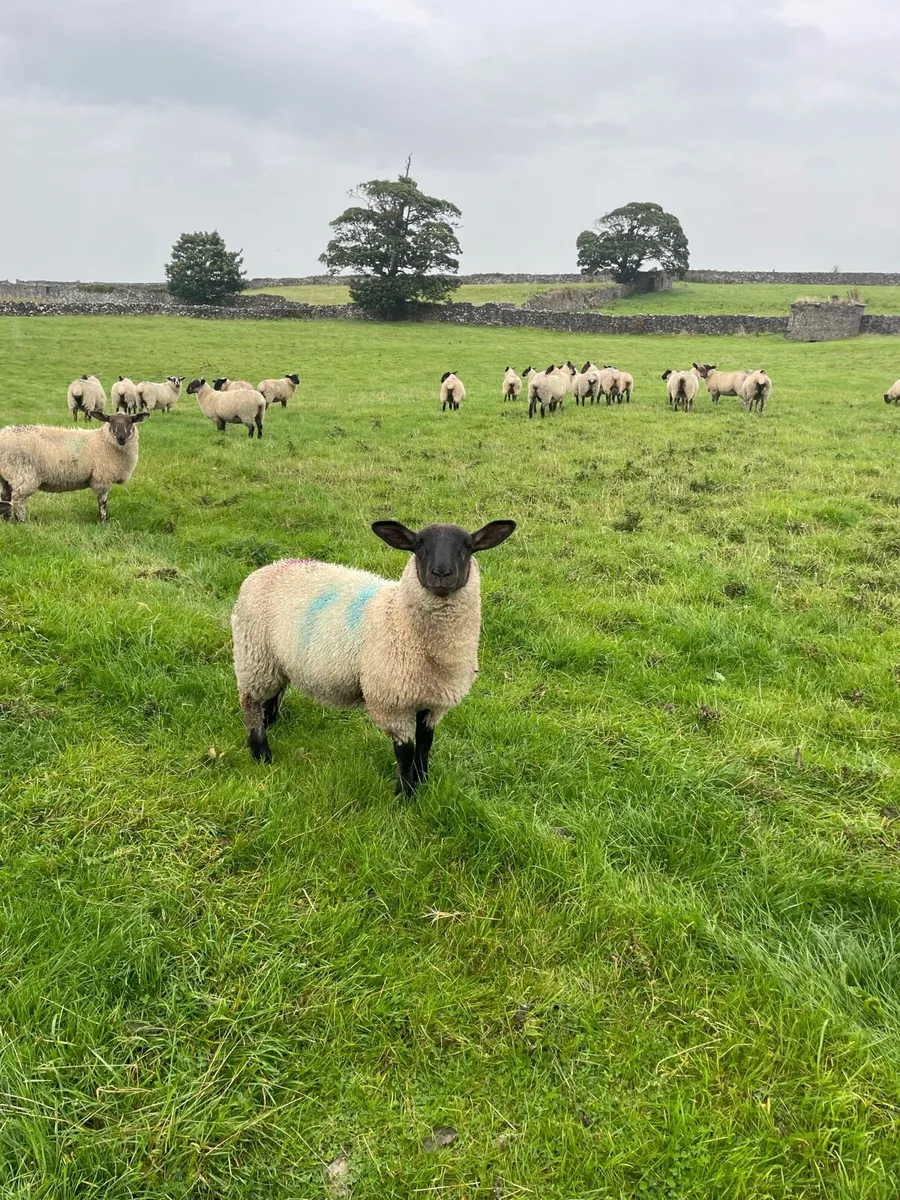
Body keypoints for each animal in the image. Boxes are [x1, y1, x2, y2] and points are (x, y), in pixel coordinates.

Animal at [0, 411, 148, 523]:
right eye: (111, 422)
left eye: (130, 422)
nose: (121, 437)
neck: (104, 441)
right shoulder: (102, 478)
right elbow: (102, 502)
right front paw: (103, 521)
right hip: (23, 474)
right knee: (17, 500)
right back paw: (22, 522)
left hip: (6, 477)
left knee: (6, 497)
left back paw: (8, 520)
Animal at [231, 518, 516, 794]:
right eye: (419, 546)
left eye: (468, 547)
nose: (441, 574)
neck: (399, 617)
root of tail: (268, 568)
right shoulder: (392, 703)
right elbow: (405, 752)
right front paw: (406, 794)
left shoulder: (434, 702)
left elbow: (426, 743)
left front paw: (423, 781)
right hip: (254, 657)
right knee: (250, 702)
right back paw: (261, 752)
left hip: (276, 661)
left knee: (273, 694)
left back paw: (270, 723)